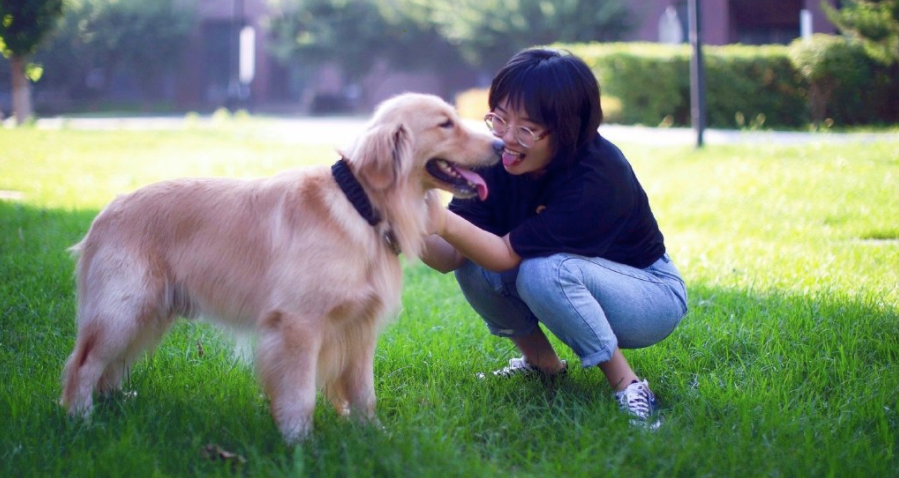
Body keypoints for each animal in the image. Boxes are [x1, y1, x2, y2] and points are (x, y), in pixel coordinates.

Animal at [60, 93, 502, 444]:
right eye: (445, 123)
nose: (500, 144)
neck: (360, 205)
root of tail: (103, 214)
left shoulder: (360, 327)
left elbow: (364, 392)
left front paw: (372, 436)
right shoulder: (297, 324)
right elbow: (301, 395)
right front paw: (299, 445)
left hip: (149, 315)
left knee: (110, 367)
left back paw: (115, 403)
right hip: (124, 309)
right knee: (82, 365)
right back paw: (81, 420)